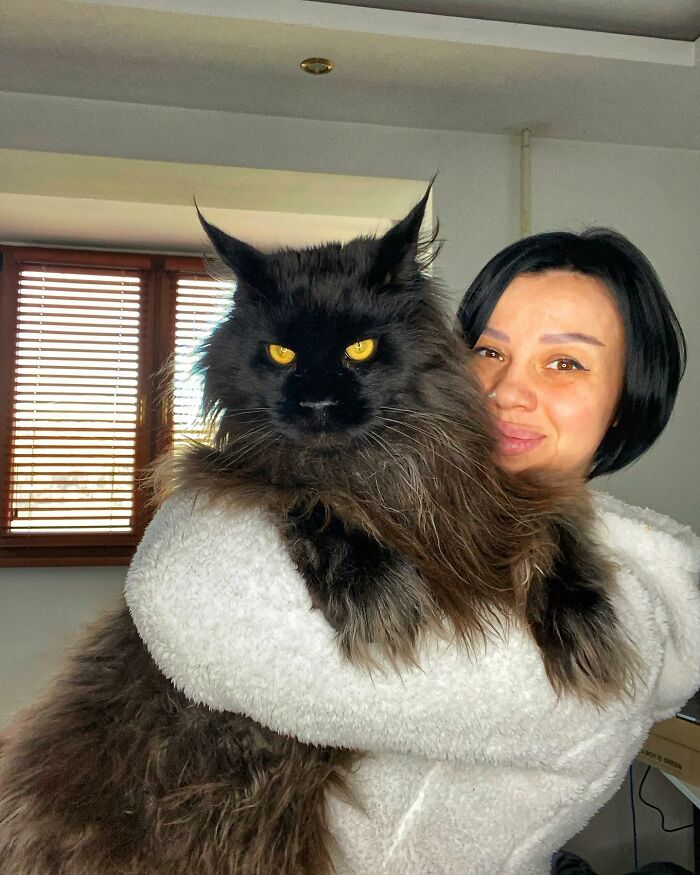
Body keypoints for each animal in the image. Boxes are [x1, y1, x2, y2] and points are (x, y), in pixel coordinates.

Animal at [0, 188, 636, 872]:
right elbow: (311, 497)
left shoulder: (497, 502)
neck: (377, 474)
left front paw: (582, 622)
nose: (318, 404)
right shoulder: (238, 472)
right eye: (282, 353)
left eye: (360, 349)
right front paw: (372, 588)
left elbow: (556, 532)